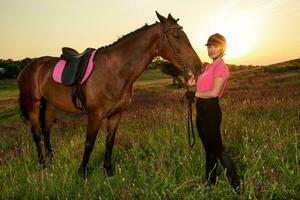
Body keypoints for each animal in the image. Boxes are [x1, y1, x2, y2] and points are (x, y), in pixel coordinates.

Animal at [17, 11, 202, 176]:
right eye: (177, 36)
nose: (198, 66)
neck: (115, 71)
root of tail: (28, 67)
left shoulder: (116, 114)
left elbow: (109, 141)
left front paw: (108, 170)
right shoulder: (95, 115)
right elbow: (89, 143)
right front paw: (82, 172)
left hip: (50, 105)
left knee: (46, 130)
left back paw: (51, 159)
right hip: (32, 104)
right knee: (36, 133)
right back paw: (43, 164)